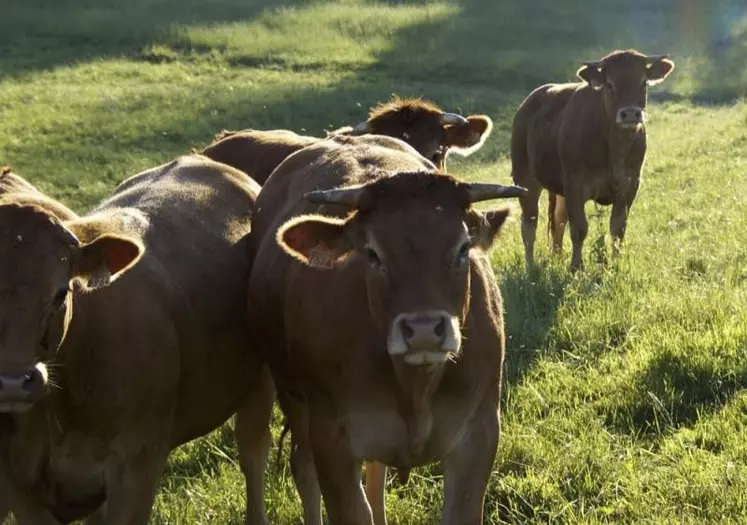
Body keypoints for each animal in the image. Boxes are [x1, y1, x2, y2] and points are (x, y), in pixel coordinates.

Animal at [0, 157, 274, 524]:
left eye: (60, 293)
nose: (13, 383)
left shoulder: (137, 469)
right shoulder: (19, 490)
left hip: (259, 384)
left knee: (253, 456)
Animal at [247, 133, 524, 520]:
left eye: (463, 248)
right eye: (373, 254)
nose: (423, 330)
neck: (416, 388)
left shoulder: (479, 436)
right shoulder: (331, 441)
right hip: (293, 399)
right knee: (305, 469)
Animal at [512, 49, 676, 270]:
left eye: (643, 82)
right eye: (609, 84)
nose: (630, 113)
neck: (614, 149)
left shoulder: (630, 184)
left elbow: (618, 228)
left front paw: (616, 264)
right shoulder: (575, 185)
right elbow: (579, 229)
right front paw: (576, 268)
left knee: (558, 220)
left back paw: (557, 257)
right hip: (525, 179)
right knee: (529, 224)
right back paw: (530, 267)